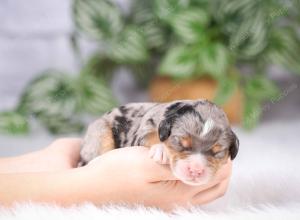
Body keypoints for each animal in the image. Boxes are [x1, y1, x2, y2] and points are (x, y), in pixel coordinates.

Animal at [80, 99, 239, 186]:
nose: (196, 170)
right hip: (100, 131)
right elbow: (152, 136)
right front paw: (161, 149)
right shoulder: (142, 131)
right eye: (181, 143)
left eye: (217, 152)